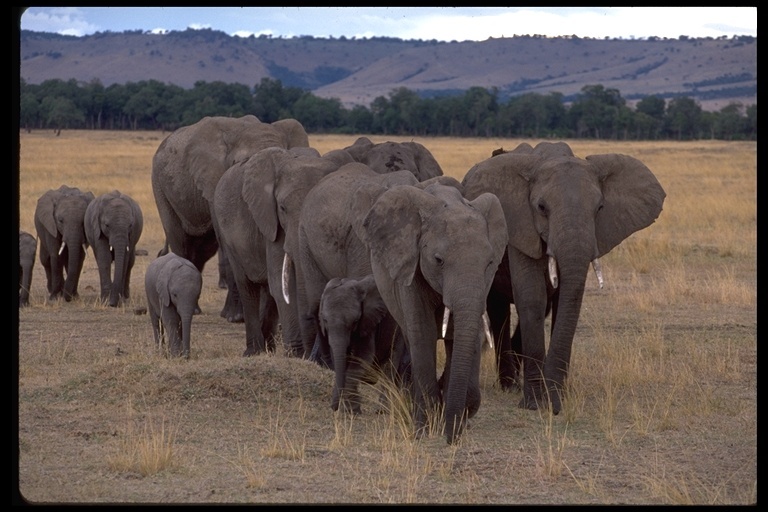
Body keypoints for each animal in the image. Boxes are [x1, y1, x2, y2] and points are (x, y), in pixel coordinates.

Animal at [150, 117, 308, 324]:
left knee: (202, 249)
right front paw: (236, 317)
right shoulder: (215, 180)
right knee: (180, 241)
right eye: (241, 162)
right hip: (160, 186)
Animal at [212, 145, 352, 356]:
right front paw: (296, 355)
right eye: (283, 208)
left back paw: (269, 349)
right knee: (248, 287)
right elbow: (280, 283)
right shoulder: (271, 222)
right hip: (226, 235)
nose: (311, 355)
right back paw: (254, 352)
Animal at [318, 274, 412, 414]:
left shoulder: (368, 322)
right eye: (324, 320)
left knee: (390, 364)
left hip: (399, 328)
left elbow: (363, 357)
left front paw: (351, 410)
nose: (334, 407)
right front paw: (352, 409)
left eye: (355, 321)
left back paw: (382, 410)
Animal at [354, 181, 510, 444]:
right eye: (438, 260)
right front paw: (424, 429)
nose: (450, 439)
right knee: (409, 337)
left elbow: (461, 336)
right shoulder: (410, 269)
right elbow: (423, 334)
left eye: (490, 263)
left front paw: (457, 418)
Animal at [462, 142, 664, 414]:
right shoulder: (520, 225)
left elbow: (565, 303)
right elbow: (532, 297)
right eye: (541, 208)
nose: (555, 408)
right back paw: (509, 385)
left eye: (600, 209)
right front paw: (534, 403)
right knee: (498, 309)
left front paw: (555, 395)